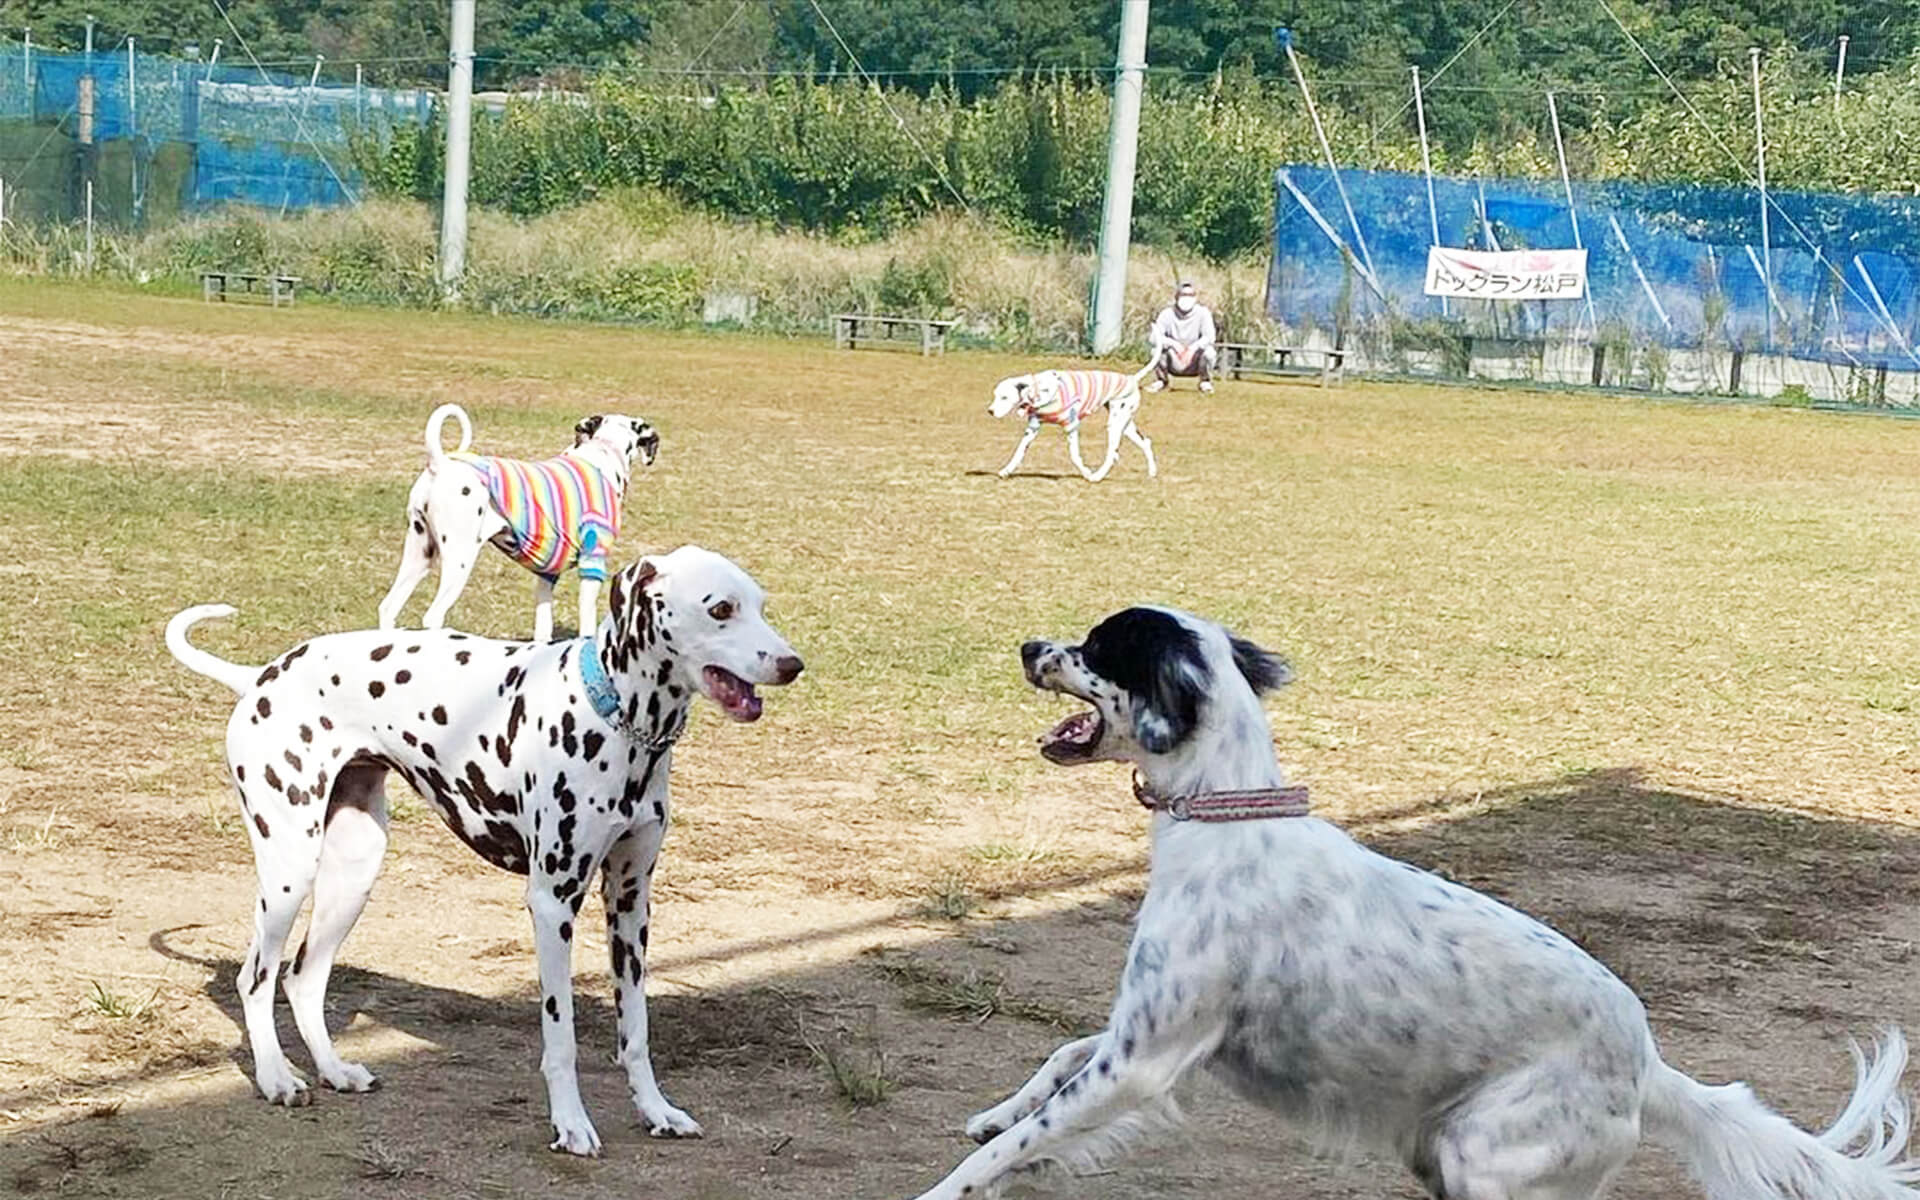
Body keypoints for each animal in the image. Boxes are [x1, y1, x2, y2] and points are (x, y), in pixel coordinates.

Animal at [161, 541, 798, 1152]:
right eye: (721, 609)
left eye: (762, 605)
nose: (793, 664)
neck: (613, 716)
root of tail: (261, 675)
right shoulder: (553, 904)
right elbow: (561, 1034)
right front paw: (570, 1124)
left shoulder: (630, 902)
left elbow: (635, 1030)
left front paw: (656, 1111)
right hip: (290, 870)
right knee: (256, 977)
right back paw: (276, 1077)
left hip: (354, 872)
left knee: (302, 978)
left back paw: (335, 1070)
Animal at [378, 403, 664, 641]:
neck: (603, 452)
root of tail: (441, 464)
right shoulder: (592, 564)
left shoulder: (547, 575)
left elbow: (543, 628)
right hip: (459, 560)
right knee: (433, 616)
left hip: (419, 555)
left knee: (388, 607)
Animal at [913, 606, 1920, 1198]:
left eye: (1093, 646)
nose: (1027, 646)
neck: (1224, 818)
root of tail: (1650, 1068)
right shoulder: (1148, 1035)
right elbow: (1053, 1063)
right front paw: (997, 1110)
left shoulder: (1148, 1061)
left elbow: (1012, 1148)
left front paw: (960, 1179)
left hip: (1487, 1158)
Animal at [990, 360, 1152, 481]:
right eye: (996, 395)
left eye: (1004, 397)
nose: (990, 411)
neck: (1040, 390)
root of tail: (1132, 378)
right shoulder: (1032, 429)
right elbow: (1019, 452)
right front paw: (1007, 470)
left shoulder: (1072, 426)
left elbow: (1075, 456)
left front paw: (1086, 472)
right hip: (1126, 426)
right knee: (1145, 442)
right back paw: (1152, 473)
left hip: (1115, 426)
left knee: (1112, 454)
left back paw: (1097, 476)